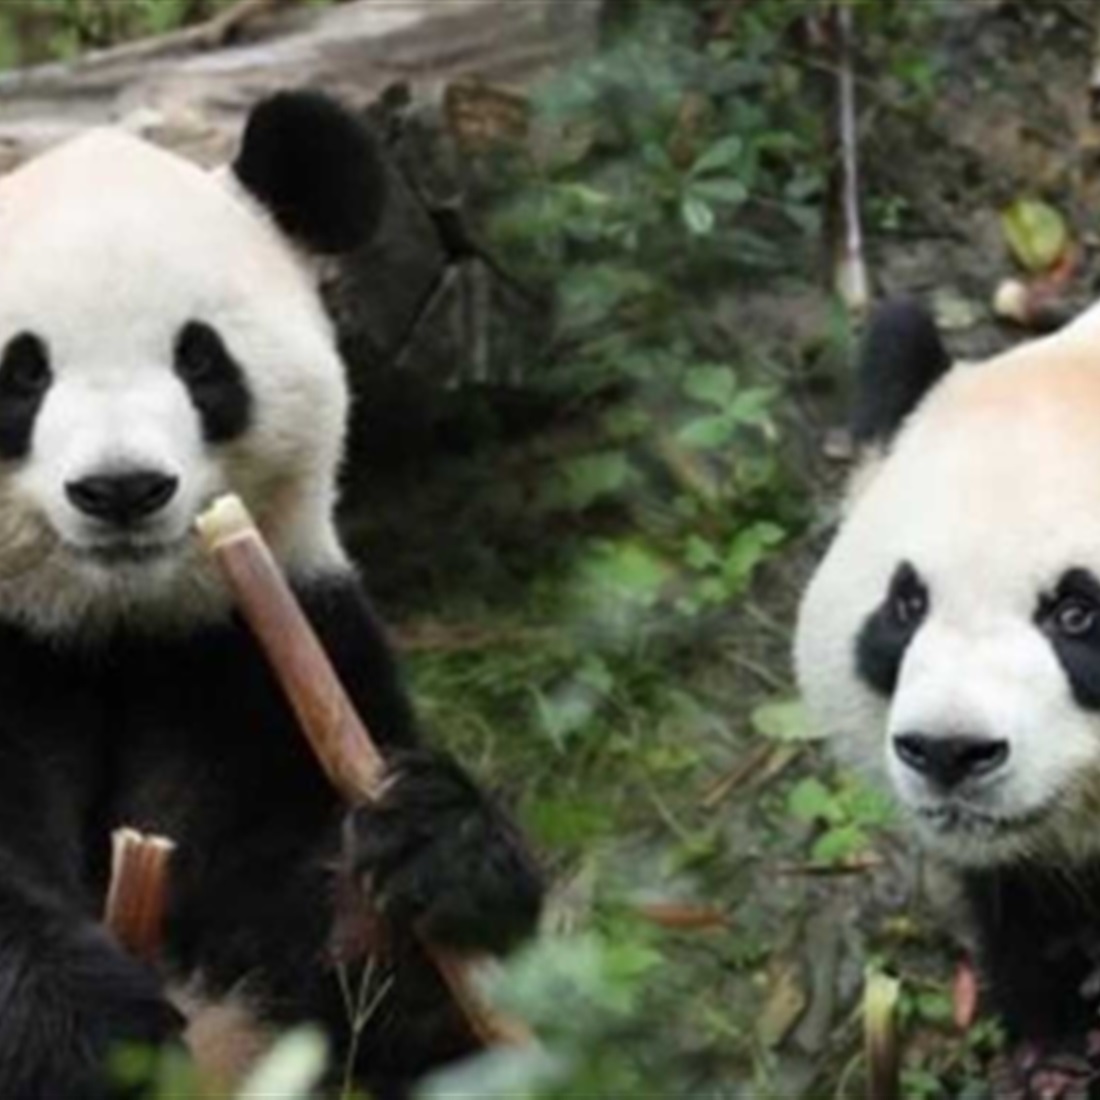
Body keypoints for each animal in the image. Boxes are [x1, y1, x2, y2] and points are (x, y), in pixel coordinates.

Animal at [0, 91, 543, 1099]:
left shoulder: (259, 651)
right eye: (24, 372)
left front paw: (433, 851)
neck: (106, 626)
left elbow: (348, 984)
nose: (122, 489)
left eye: (201, 361)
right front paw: (92, 1030)